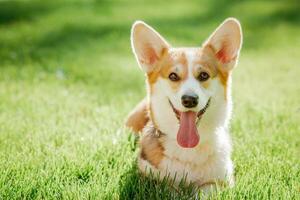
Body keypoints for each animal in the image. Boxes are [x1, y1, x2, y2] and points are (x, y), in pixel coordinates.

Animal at [125, 18, 243, 195]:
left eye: (204, 75)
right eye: (173, 76)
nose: (189, 100)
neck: (188, 149)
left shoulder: (221, 181)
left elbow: (203, 192)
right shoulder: (150, 180)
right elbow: (170, 190)